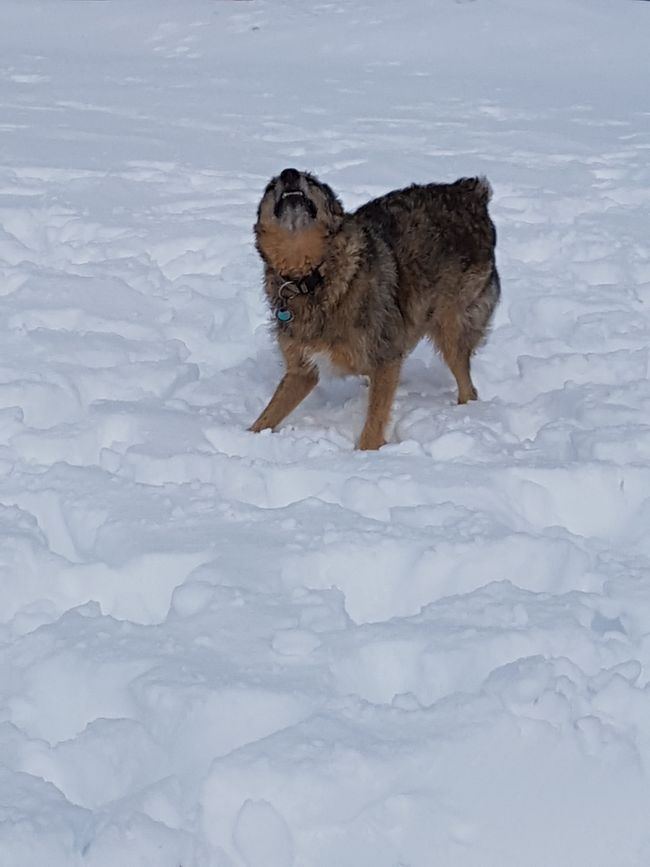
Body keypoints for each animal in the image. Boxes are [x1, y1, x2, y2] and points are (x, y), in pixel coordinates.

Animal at [247, 171, 496, 454]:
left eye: (311, 180)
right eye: (271, 186)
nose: (289, 173)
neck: (313, 279)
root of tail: (470, 192)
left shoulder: (386, 355)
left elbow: (376, 416)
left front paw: (366, 453)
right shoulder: (301, 369)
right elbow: (268, 414)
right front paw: (246, 438)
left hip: (453, 327)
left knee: (467, 385)